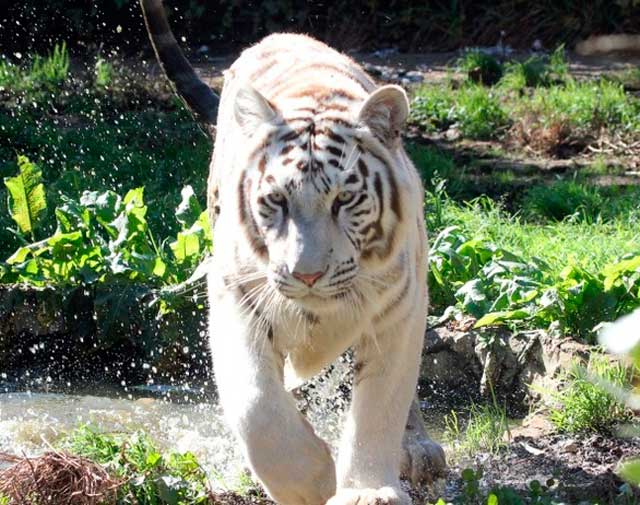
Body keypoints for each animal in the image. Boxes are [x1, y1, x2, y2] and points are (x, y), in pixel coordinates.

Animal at [140, 1, 444, 502]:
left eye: (344, 199)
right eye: (277, 200)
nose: (307, 275)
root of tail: (279, 35)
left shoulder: (400, 307)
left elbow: (381, 404)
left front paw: (367, 489)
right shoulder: (236, 298)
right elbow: (258, 407)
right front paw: (310, 482)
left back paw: (418, 450)